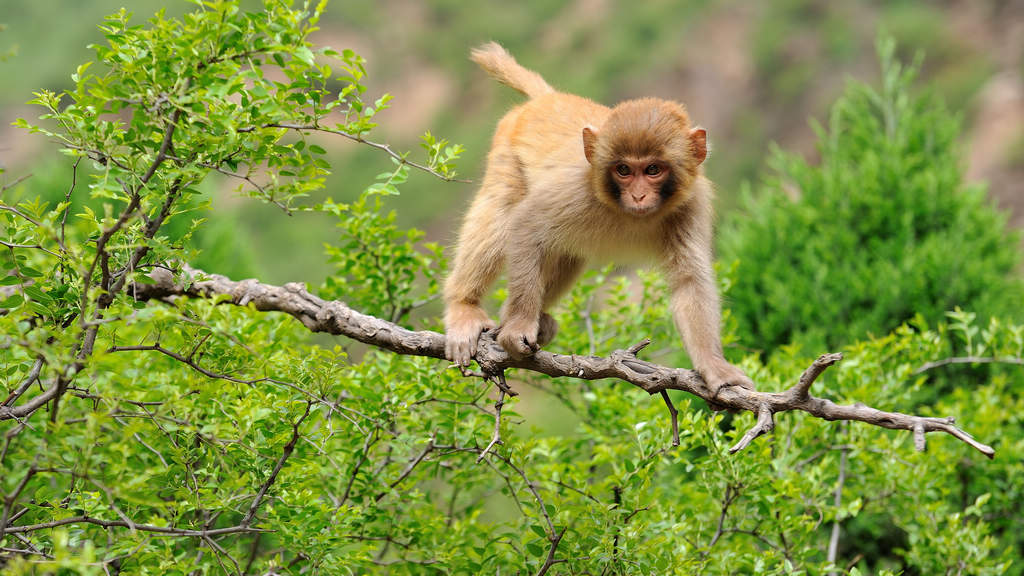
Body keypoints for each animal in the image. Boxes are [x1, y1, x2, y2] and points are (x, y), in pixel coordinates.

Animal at [442, 42, 753, 393]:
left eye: (653, 169)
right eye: (623, 170)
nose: (639, 196)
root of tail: (548, 98)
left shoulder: (691, 204)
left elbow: (689, 280)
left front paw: (714, 367)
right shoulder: (577, 188)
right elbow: (524, 224)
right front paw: (518, 325)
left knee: (568, 252)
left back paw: (536, 317)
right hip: (507, 151)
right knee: (502, 210)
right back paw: (466, 306)